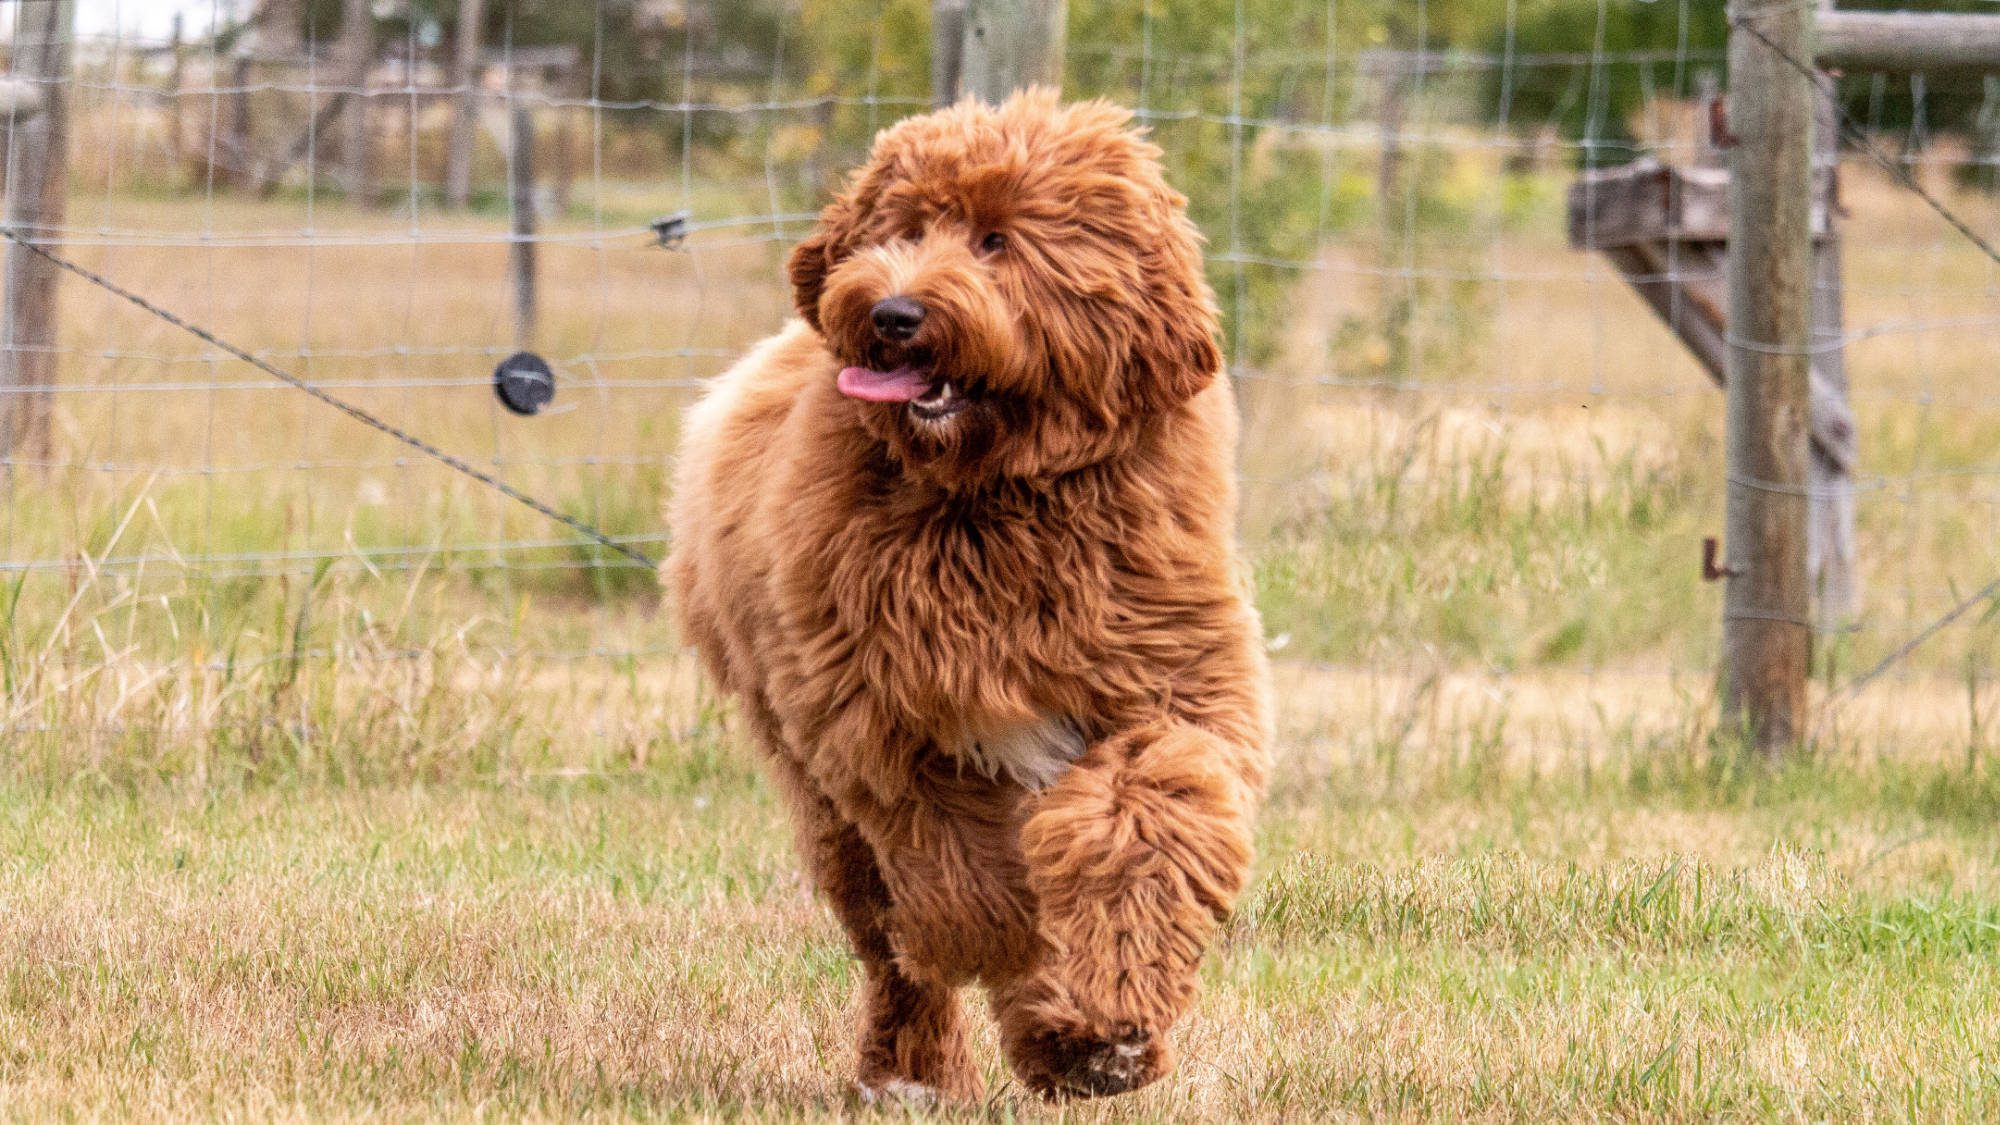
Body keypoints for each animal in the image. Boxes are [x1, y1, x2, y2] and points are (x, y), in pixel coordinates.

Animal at [668, 89, 1264, 1104]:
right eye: (902, 228)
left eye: (995, 240)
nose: (893, 312)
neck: (1000, 500)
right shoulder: (886, 727)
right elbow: (971, 884)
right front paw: (1049, 1003)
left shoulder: (1167, 680)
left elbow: (1150, 817)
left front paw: (1101, 1028)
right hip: (818, 794)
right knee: (893, 945)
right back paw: (910, 1072)